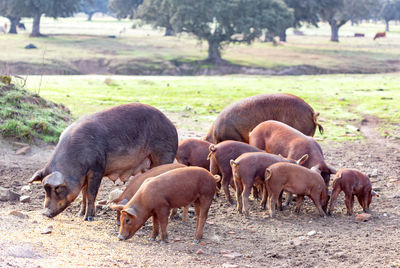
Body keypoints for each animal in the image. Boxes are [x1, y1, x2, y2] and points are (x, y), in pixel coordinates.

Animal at [28, 102, 178, 220]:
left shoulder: (97, 168)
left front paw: (88, 218)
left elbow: (91, 193)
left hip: (164, 155)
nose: (45, 213)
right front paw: (79, 214)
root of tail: (172, 126)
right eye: (44, 189)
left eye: (57, 189)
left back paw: (172, 217)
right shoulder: (84, 176)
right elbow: (83, 192)